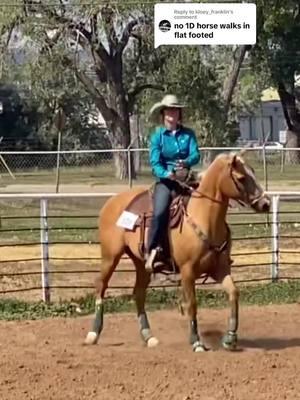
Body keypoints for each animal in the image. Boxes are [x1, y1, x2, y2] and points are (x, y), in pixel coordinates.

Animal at [84, 152, 270, 352]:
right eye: (241, 178)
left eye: (253, 172)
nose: (265, 203)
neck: (204, 218)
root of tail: (112, 201)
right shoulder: (187, 271)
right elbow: (192, 304)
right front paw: (196, 342)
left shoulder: (219, 269)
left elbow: (234, 294)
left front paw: (230, 338)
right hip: (110, 256)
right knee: (101, 285)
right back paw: (93, 333)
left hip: (141, 263)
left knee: (139, 293)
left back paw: (149, 337)